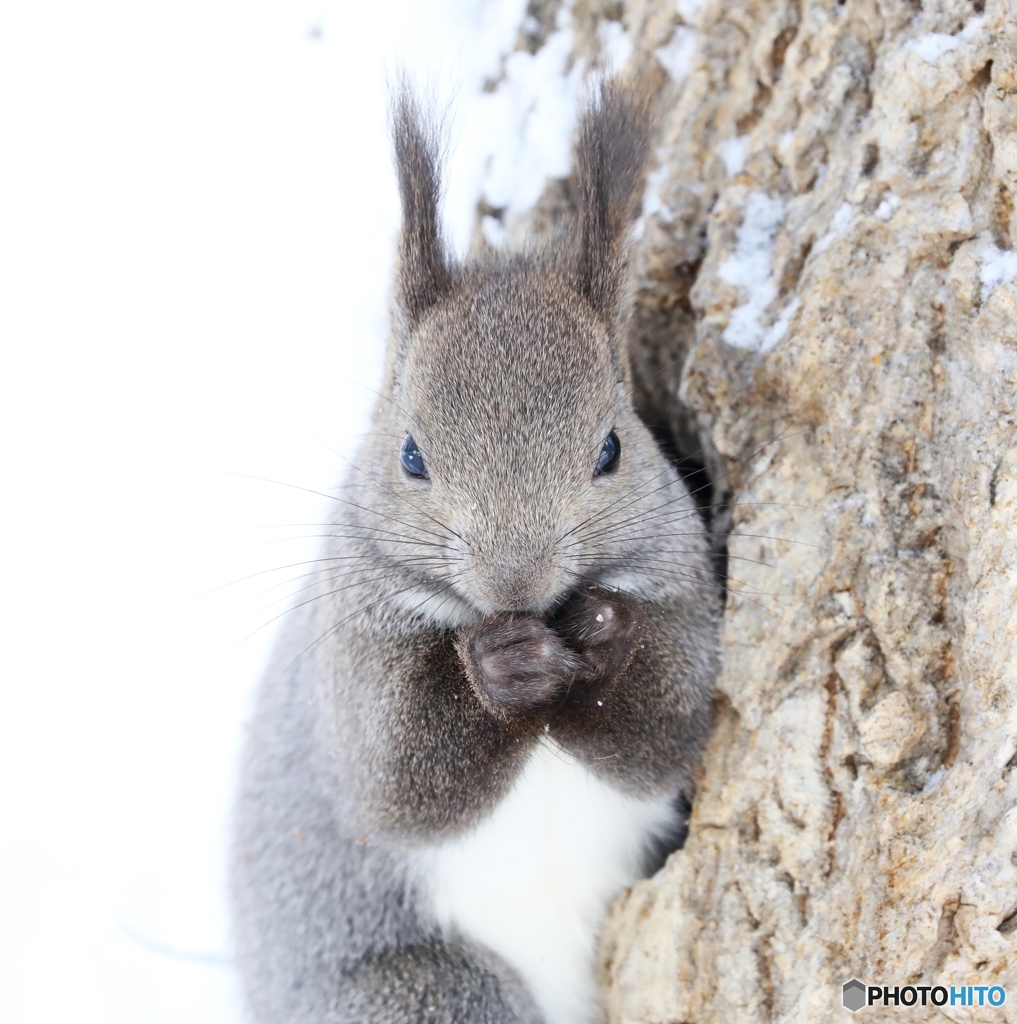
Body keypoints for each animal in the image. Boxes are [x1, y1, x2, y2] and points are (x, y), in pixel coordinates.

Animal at [230, 81, 721, 1024]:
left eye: (612, 448)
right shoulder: (347, 657)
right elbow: (400, 784)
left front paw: (599, 635)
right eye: (409, 455)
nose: (513, 583)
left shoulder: (682, 595)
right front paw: (500, 667)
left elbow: (666, 732)